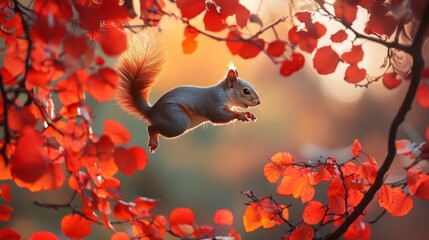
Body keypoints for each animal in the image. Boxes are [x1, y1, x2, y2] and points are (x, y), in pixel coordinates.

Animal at [115, 32, 260, 152]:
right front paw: (240, 115)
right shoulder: (214, 102)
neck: (224, 93)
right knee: (151, 127)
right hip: (177, 121)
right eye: (246, 91)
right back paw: (153, 140)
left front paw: (247, 114)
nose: (258, 102)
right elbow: (218, 115)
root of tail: (152, 111)